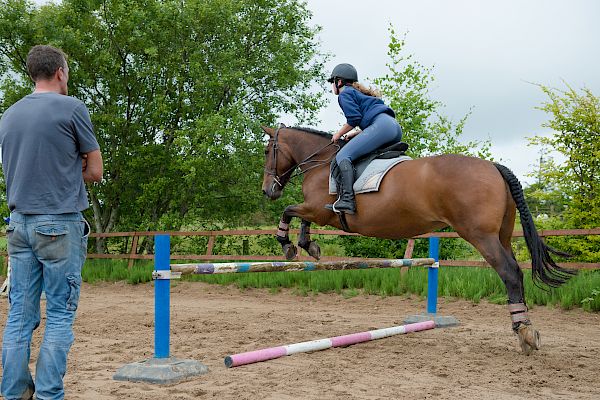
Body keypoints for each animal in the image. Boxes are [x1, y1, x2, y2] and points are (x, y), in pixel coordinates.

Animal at [258, 124, 576, 354]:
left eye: (266, 150)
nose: (268, 191)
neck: (322, 162)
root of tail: (493, 167)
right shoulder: (316, 211)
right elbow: (301, 218)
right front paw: (307, 246)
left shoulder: (321, 210)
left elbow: (290, 211)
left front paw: (287, 245)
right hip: (503, 235)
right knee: (516, 272)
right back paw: (525, 329)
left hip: (480, 235)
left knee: (509, 273)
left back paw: (523, 330)